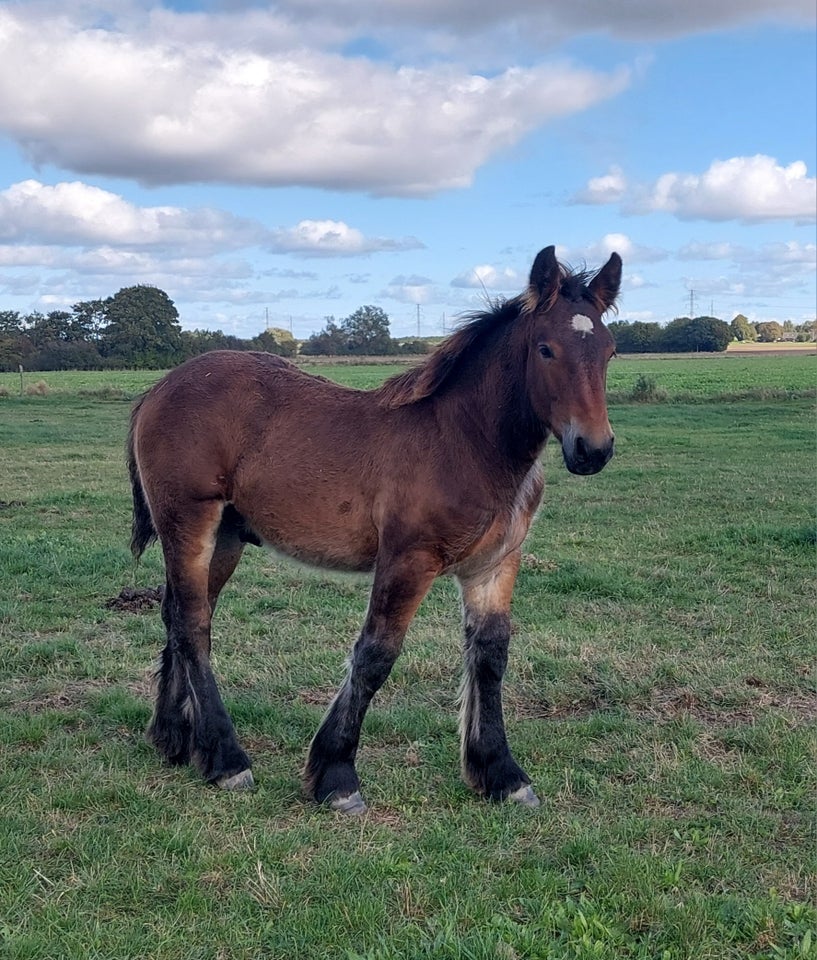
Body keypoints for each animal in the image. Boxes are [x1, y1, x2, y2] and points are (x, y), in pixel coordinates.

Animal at [129, 244, 620, 812]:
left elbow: (491, 655)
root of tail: (158, 388)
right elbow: (375, 655)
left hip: (226, 536)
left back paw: (175, 739)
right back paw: (227, 759)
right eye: (545, 349)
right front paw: (337, 776)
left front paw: (502, 773)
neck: (465, 441)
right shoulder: (408, 558)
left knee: (179, 614)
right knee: (193, 624)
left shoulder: (494, 564)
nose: (593, 449)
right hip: (188, 520)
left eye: (610, 352)